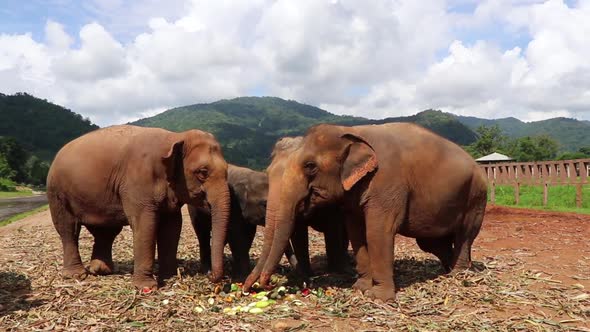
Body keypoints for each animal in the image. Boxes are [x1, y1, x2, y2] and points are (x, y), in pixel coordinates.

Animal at [46, 125, 231, 290]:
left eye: (227, 170)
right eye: (202, 172)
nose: (210, 276)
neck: (174, 137)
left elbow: (172, 226)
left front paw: (169, 276)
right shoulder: (138, 183)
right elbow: (145, 225)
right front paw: (146, 287)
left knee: (106, 232)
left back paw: (101, 270)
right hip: (57, 193)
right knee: (68, 229)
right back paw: (76, 275)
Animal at [190, 139, 350, 282]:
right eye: (265, 204)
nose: (303, 278)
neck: (250, 175)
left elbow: (248, 234)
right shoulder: (233, 204)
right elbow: (237, 234)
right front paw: (242, 275)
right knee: (202, 232)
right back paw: (207, 269)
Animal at [243, 122, 488, 300]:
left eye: (310, 166)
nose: (253, 287)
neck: (352, 131)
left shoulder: (386, 182)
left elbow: (377, 231)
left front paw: (378, 297)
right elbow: (356, 231)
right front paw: (359, 287)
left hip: (476, 195)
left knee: (465, 234)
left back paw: (457, 273)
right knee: (431, 242)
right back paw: (450, 269)